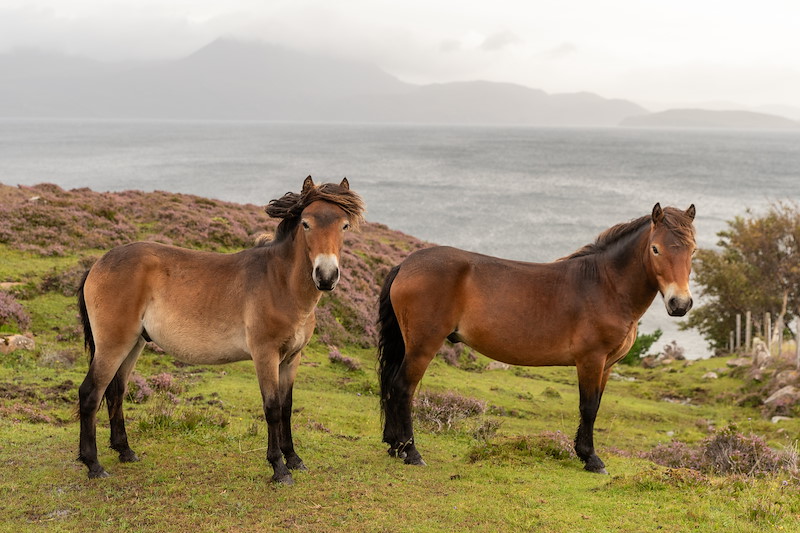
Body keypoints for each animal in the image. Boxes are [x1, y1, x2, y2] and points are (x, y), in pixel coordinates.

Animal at [76, 176, 364, 484]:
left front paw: (294, 458)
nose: (326, 276)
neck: (279, 282)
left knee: (116, 391)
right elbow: (272, 409)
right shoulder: (265, 356)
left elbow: (287, 408)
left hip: (134, 344)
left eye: (344, 226)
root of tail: (98, 264)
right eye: (306, 224)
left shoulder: (291, 359)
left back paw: (125, 451)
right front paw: (279, 467)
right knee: (91, 393)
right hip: (113, 344)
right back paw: (93, 464)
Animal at [378, 203, 696, 474]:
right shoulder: (591, 360)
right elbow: (588, 407)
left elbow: (595, 406)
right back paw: (411, 452)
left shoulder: (606, 366)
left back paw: (395, 446)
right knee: (403, 388)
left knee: (392, 386)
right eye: (655, 249)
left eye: (692, 251)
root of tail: (405, 265)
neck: (604, 285)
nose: (679, 304)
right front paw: (591, 459)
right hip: (422, 346)